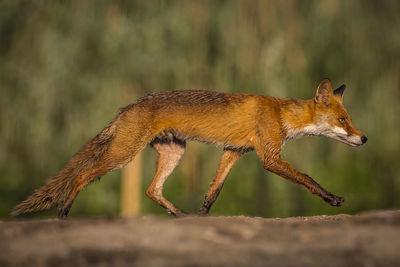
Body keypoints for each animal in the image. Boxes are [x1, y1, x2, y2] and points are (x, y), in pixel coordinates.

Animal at [11, 78, 368, 219]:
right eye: (343, 120)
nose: (364, 138)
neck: (281, 113)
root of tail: (127, 107)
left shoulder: (233, 151)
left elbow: (214, 190)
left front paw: (202, 215)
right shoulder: (269, 157)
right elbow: (308, 178)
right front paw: (332, 199)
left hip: (175, 152)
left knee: (151, 190)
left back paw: (180, 215)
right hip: (123, 154)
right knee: (82, 176)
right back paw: (63, 212)